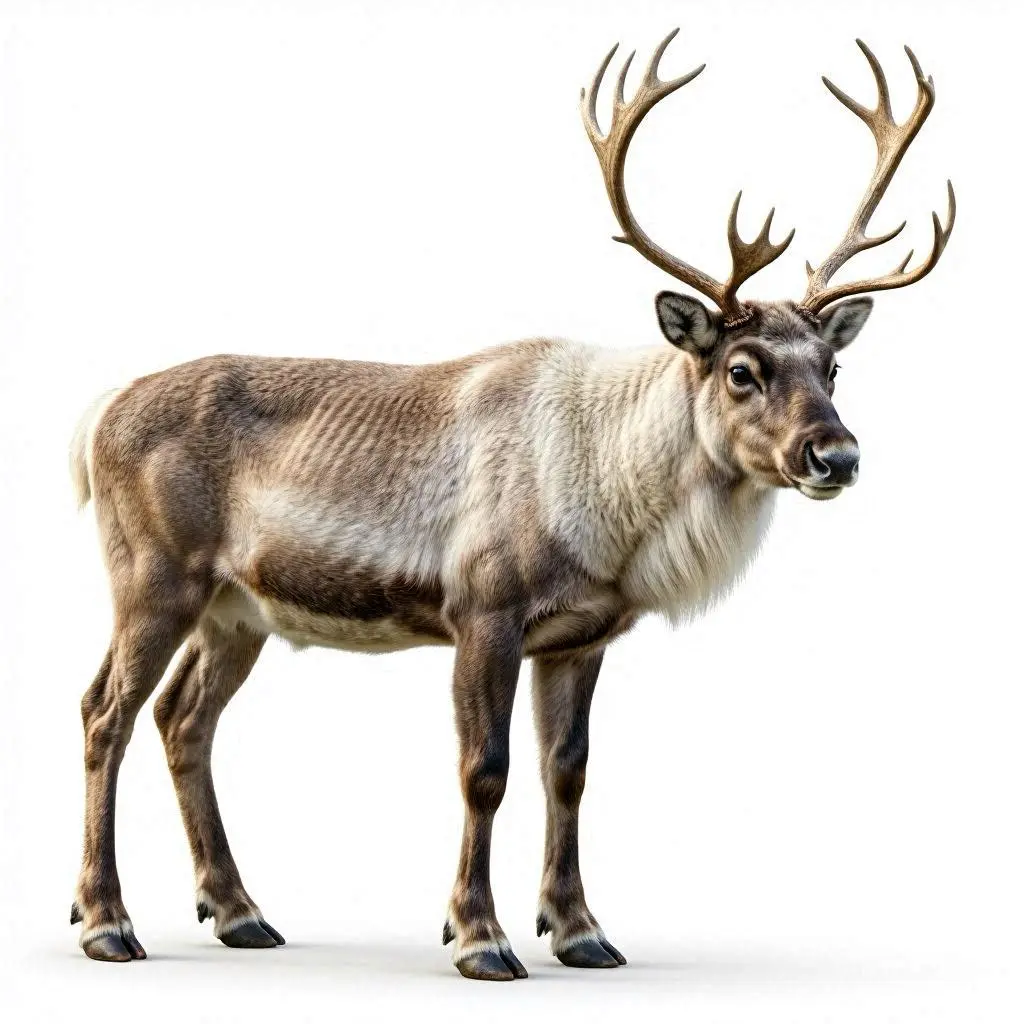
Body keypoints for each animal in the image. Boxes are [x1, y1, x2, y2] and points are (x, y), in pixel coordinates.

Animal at [68, 30, 954, 981]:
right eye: (742, 369)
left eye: (833, 368)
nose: (837, 454)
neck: (613, 499)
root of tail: (98, 414)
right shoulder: (482, 607)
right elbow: (483, 769)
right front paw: (479, 935)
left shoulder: (581, 634)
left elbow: (567, 769)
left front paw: (580, 930)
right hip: (153, 577)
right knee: (106, 712)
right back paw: (106, 921)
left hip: (237, 610)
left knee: (182, 718)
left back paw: (238, 911)